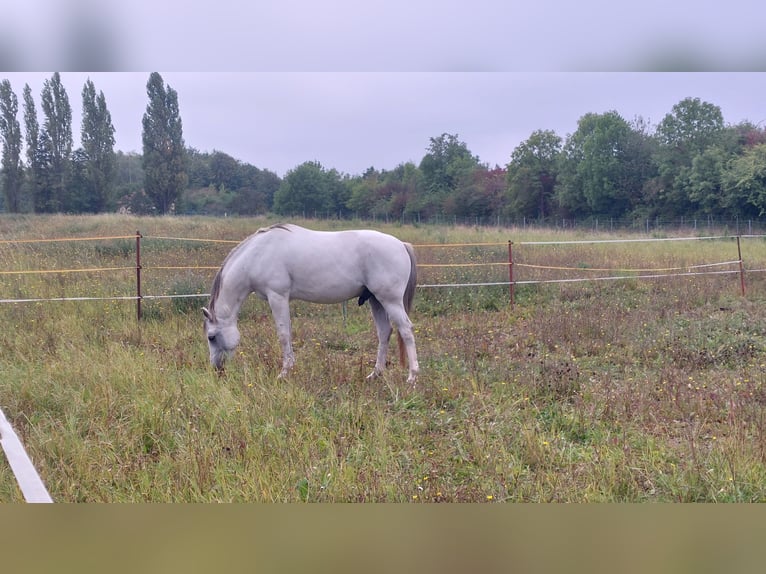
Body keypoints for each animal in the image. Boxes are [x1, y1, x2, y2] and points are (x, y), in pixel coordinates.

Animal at [202, 223, 420, 384]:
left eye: (211, 337)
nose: (217, 369)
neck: (258, 254)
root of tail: (401, 244)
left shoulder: (278, 297)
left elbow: (283, 335)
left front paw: (284, 372)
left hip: (390, 301)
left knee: (406, 330)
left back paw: (412, 377)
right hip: (376, 300)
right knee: (384, 333)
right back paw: (375, 374)